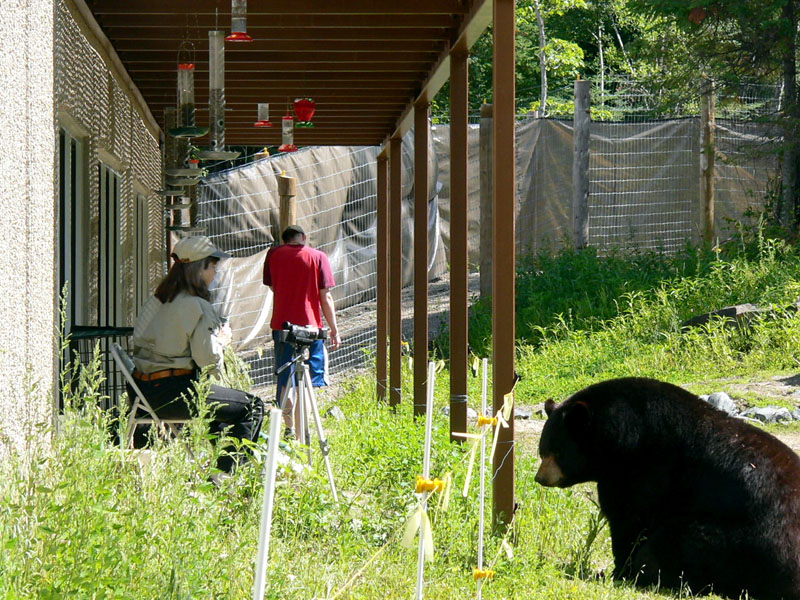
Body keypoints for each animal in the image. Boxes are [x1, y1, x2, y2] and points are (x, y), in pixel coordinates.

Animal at [535, 377, 800, 600]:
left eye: (555, 452)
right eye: (542, 451)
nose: (540, 478)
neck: (620, 435)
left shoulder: (645, 468)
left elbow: (630, 518)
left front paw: (618, 571)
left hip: (739, 543)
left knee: (671, 543)